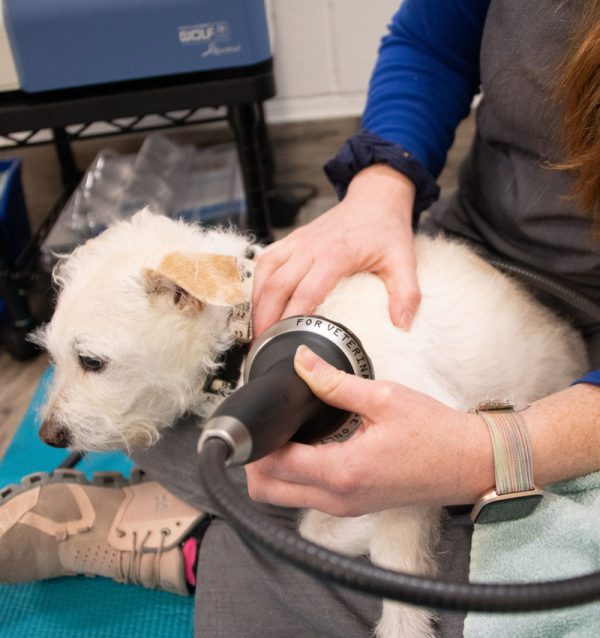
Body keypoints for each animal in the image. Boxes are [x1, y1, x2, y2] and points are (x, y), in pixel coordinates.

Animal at [35, 212, 588, 636]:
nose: (47, 436)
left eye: (92, 361)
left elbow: (360, 539)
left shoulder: (419, 431)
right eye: (53, 355)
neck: (246, 333)